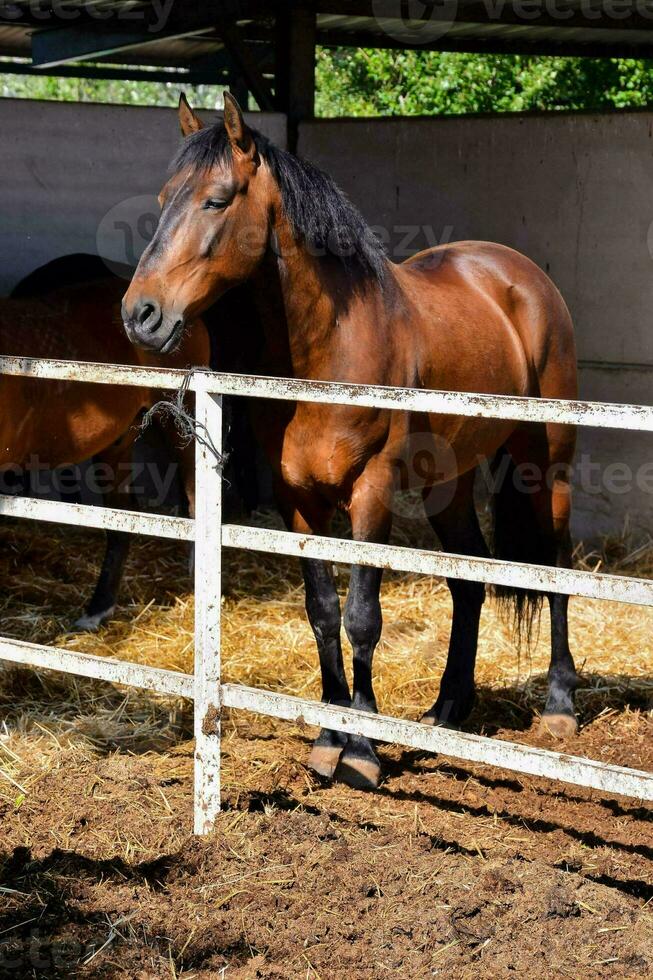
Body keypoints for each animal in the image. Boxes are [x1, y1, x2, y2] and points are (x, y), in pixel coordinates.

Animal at [121, 94, 576, 788]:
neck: (330, 349)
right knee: (468, 581)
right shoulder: (299, 502)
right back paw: (446, 710)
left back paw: (558, 707)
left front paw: (362, 749)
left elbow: (363, 616)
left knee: (554, 568)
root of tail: (521, 276)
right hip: (448, 483)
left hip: (544, 464)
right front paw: (329, 740)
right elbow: (323, 612)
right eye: (165, 196)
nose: (140, 314)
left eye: (217, 200)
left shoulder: (372, 491)